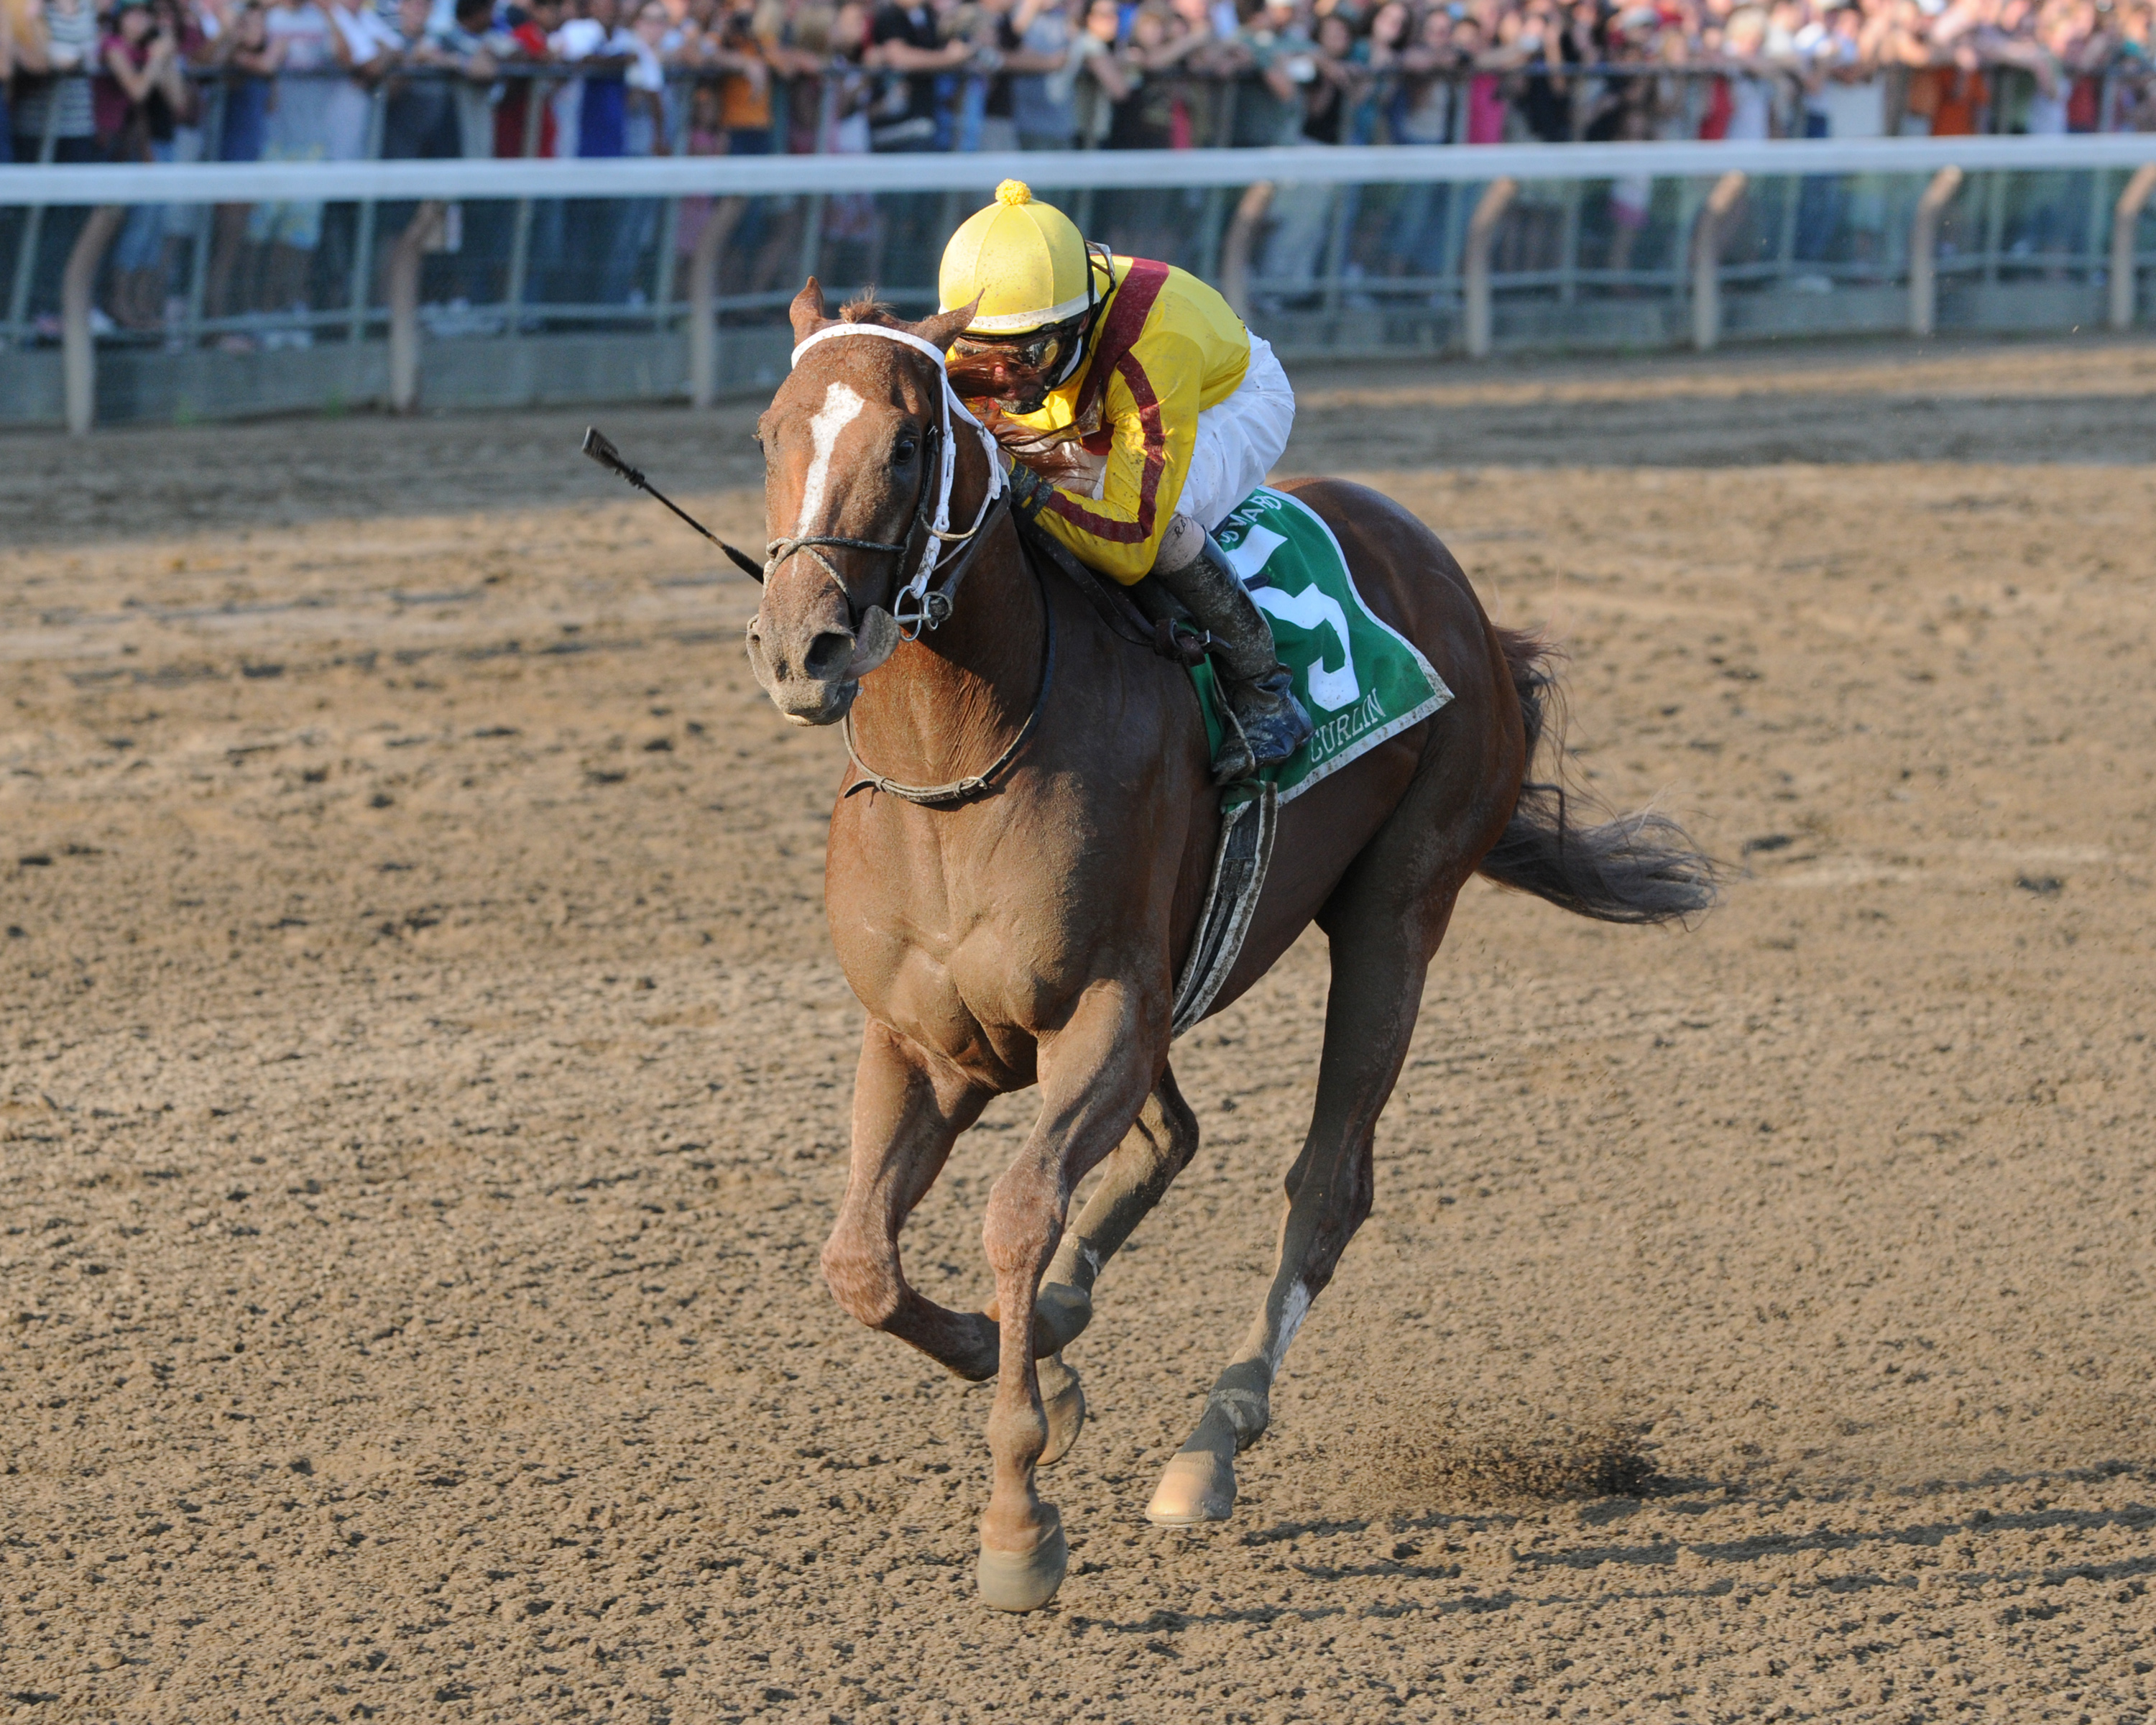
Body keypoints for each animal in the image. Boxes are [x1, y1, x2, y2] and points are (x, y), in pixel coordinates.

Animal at [750, 287, 1708, 1622]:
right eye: (768, 436)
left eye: (905, 445)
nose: (804, 650)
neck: (964, 763)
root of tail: (1455, 587)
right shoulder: (925, 1040)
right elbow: (861, 1266)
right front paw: (1031, 1358)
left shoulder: (1105, 1012)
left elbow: (1017, 1214)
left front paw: (1019, 1518)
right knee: (1174, 1138)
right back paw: (1072, 1325)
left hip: (1397, 911)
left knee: (1328, 1184)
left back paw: (1213, 1440)